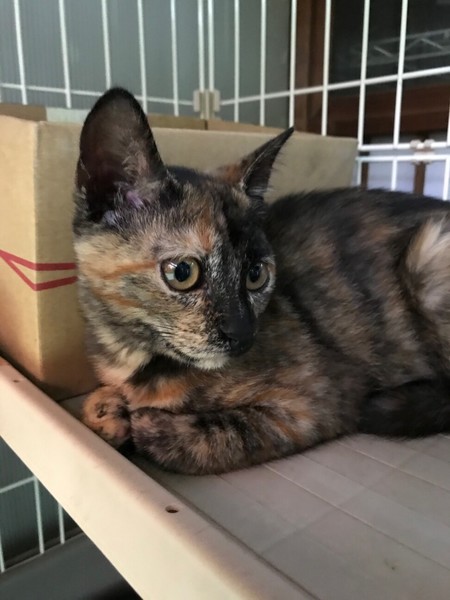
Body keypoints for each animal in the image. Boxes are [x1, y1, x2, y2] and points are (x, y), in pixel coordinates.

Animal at [73, 87, 450, 475]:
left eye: (256, 275)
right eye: (182, 273)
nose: (242, 334)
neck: (133, 356)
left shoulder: (320, 400)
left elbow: (224, 435)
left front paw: (146, 423)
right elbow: (96, 404)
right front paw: (105, 411)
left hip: (429, 254)